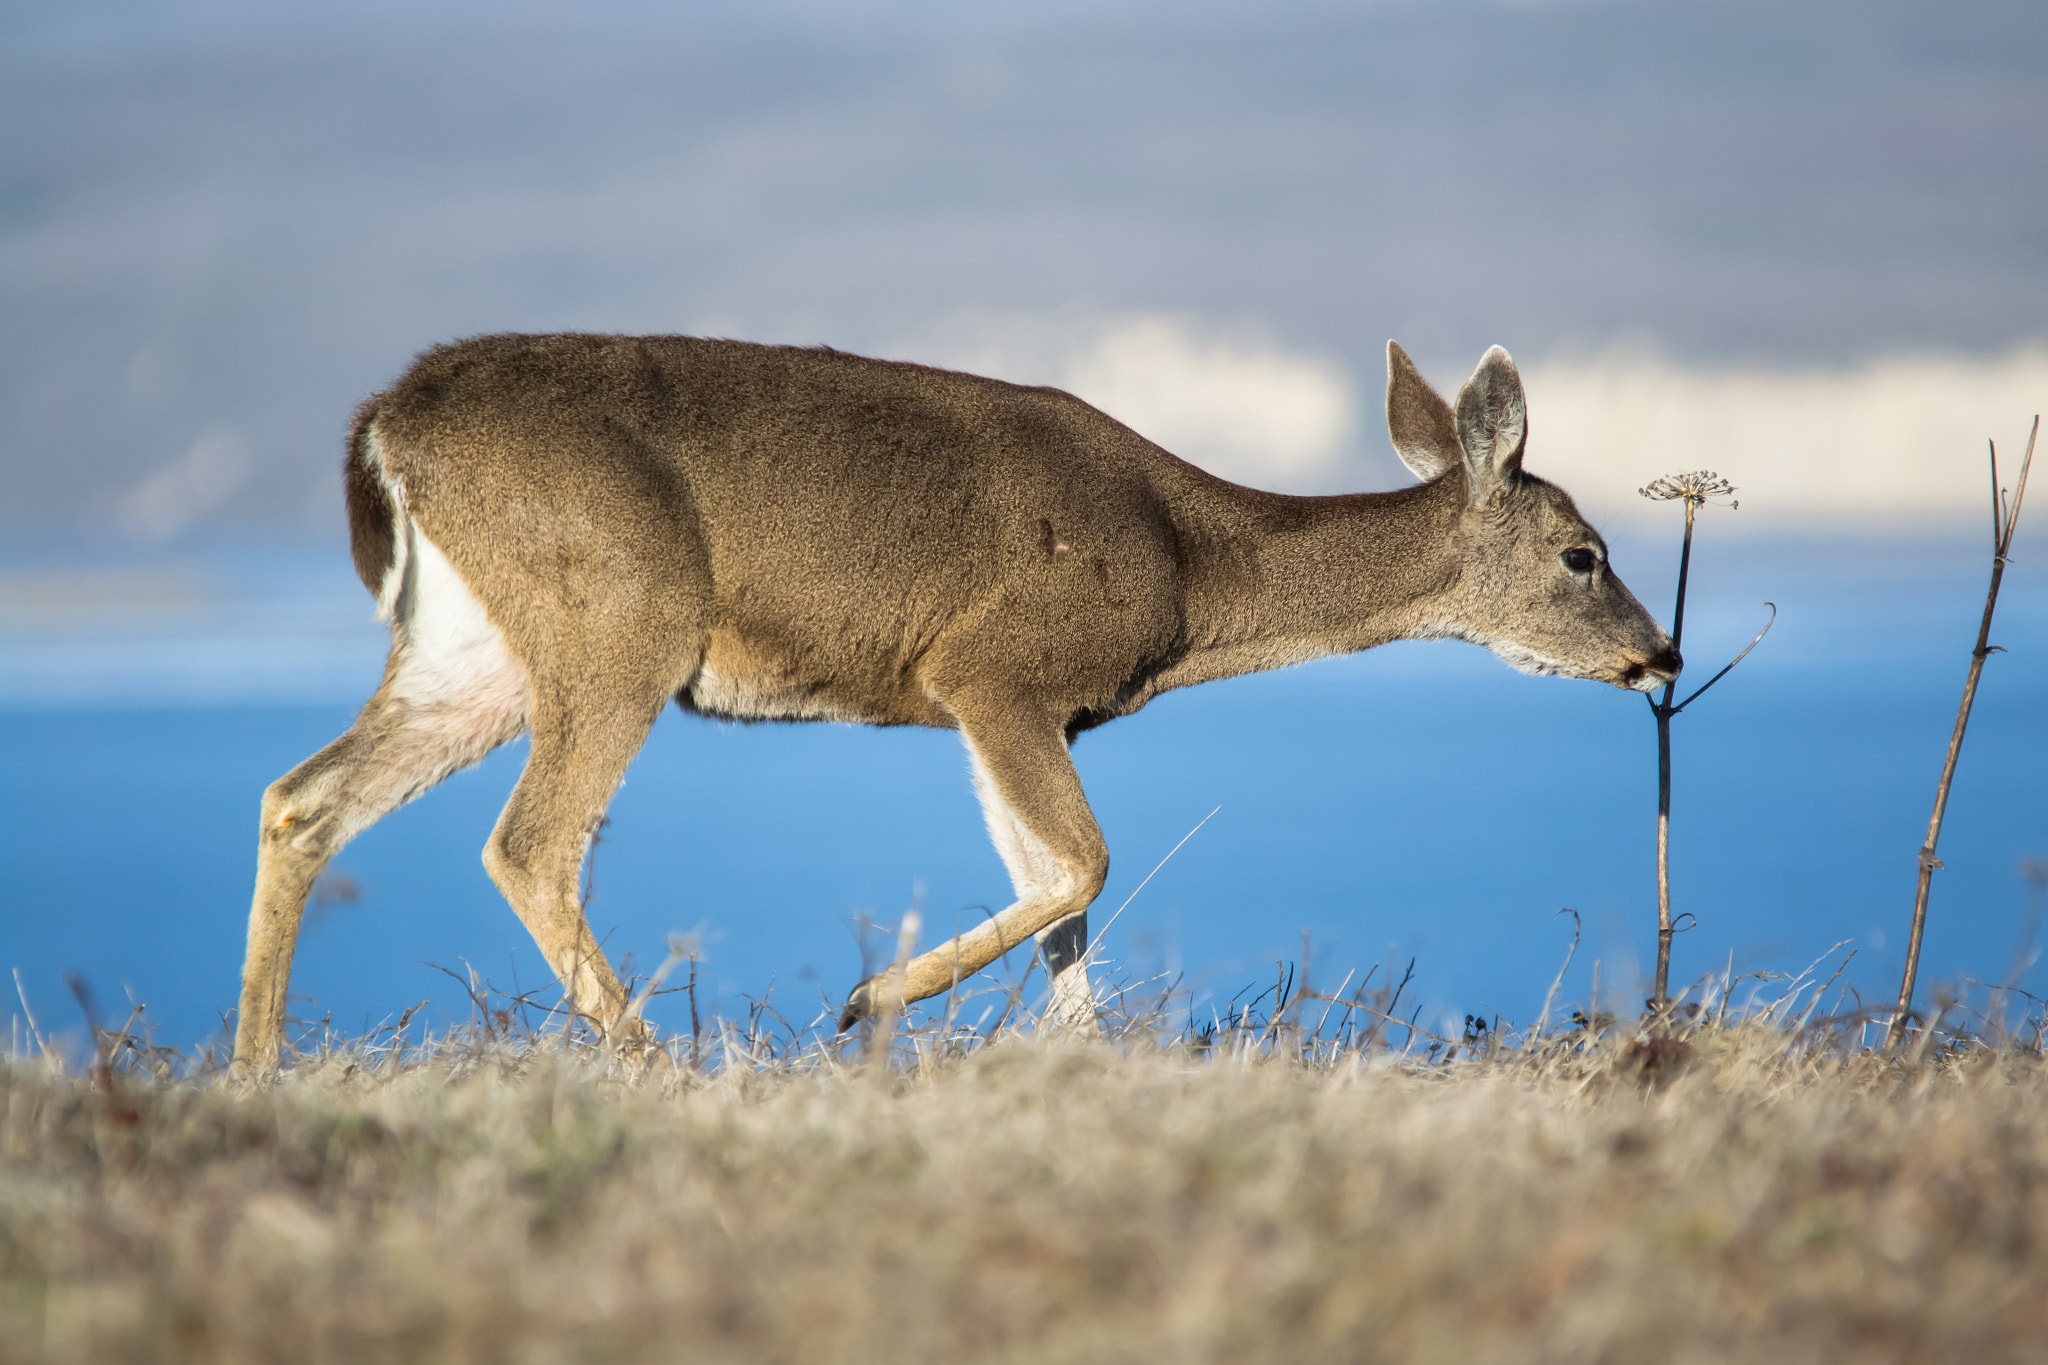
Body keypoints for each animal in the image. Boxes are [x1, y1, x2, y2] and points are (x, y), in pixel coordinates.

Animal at [231, 334, 1680, 1069]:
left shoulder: (1002, 707)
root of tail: (385, 421)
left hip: (472, 644)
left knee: (303, 797)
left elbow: (1060, 892)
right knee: (530, 840)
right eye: (1583, 555)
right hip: (621, 609)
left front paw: (1078, 1076)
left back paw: (252, 1072)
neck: (1192, 582)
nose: (1658, 658)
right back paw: (655, 1067)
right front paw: (867, 1001)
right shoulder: (996, 666)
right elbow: (1084, 861)